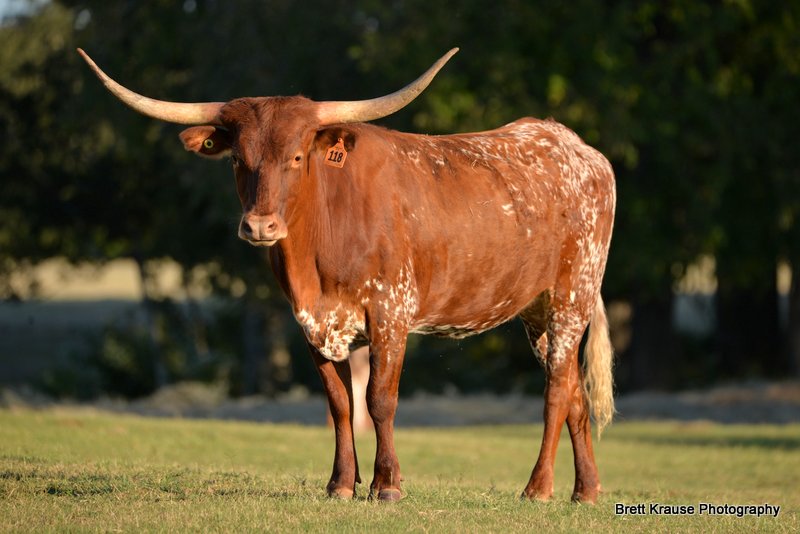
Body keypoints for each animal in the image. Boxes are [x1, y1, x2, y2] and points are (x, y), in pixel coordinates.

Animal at [79, 48, 620, 504]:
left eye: (297, 156)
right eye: (236, 158)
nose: (259, 226)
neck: (318, 254)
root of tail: (577, 147)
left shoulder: (390, 314)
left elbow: (379, 400)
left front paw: (387, 485)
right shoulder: (311, 323)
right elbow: (340, 403)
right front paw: (340, 484)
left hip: (572, 296)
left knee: (556, 391)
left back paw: (538, 488)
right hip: (538, 311)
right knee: (573, 390)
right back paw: (586, 491)